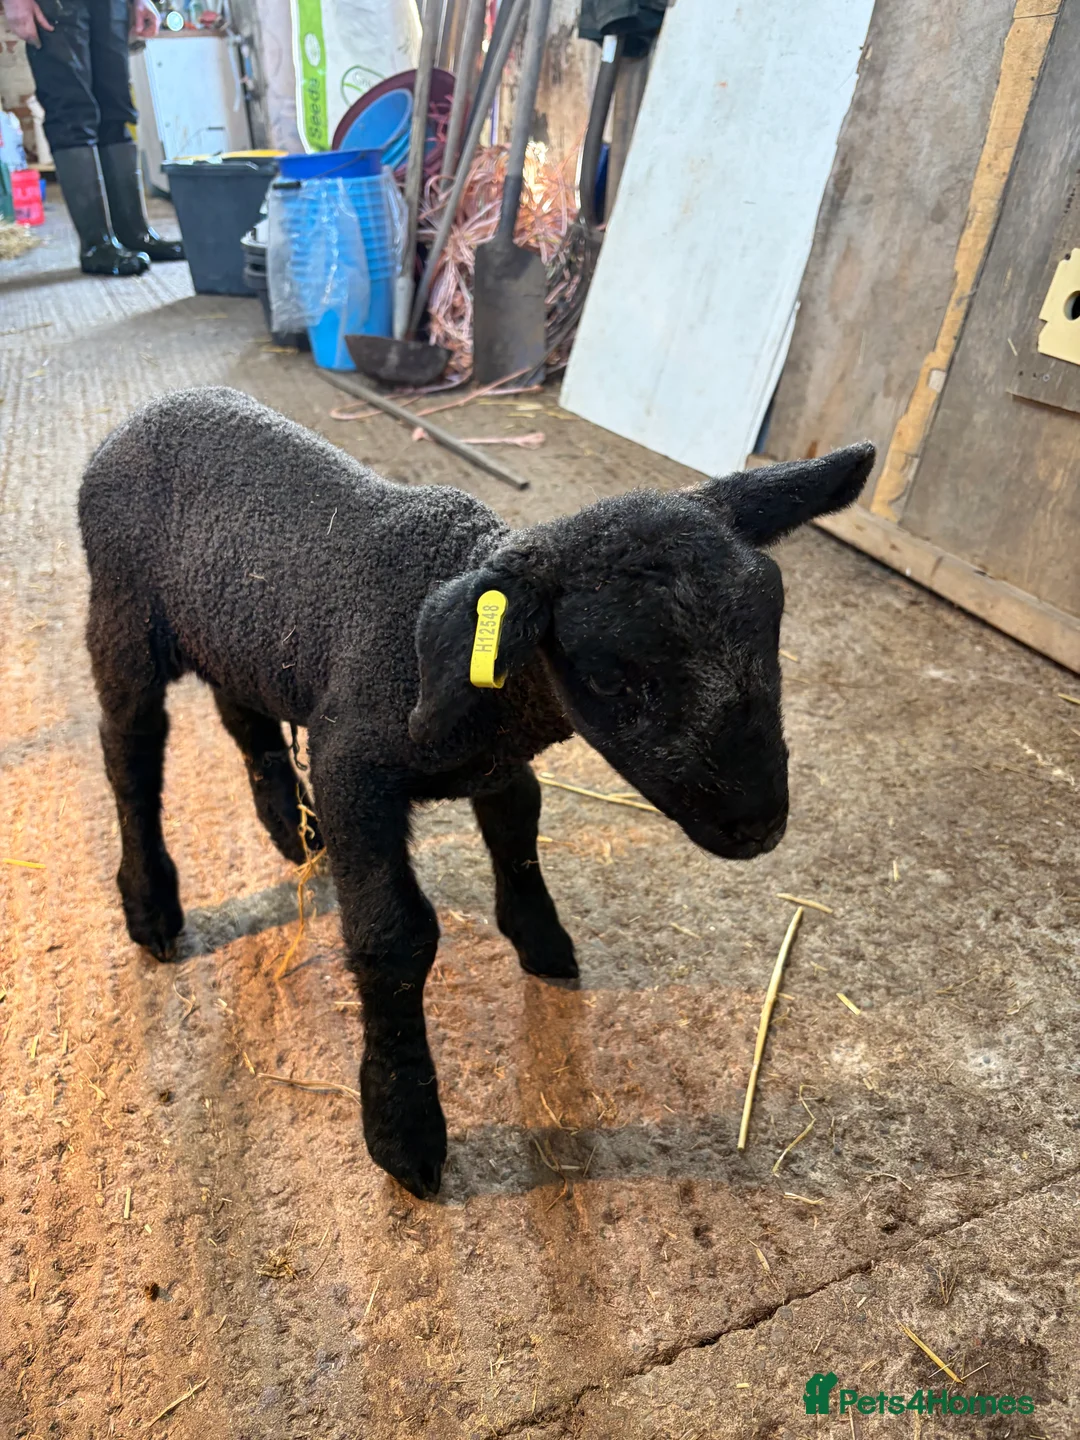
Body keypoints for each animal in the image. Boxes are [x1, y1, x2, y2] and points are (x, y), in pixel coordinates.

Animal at [78, 385, 874, 1198]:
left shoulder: (495, 760)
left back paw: (291, 828)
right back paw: (151, 905)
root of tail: (157, 408)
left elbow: (519, 828)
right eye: (608, 677)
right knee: (129, 749)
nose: (760, 823)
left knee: (243, 710)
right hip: (122, 612)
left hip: (239, 630)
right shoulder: (351, 764)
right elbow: (394, 937)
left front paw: (541, 938)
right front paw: (404, 1127)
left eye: (771, 632)